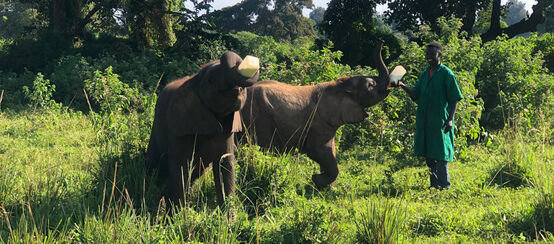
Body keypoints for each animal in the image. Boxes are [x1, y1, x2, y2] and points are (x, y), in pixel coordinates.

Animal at [147, 51, 258, 206]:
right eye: (211, 80)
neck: (194, 80)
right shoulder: (179, 125)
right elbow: (181, 166)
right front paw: (178, 211)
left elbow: (225, 164)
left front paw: (228, 212)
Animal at [239, 40, 390, 189]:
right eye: (371, 86)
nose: (382, 40)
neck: (339, 85)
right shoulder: (319, 122)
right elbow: (318, 151)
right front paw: (317, 180)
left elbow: (331, 151)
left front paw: (325, 187)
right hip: (257, 117)